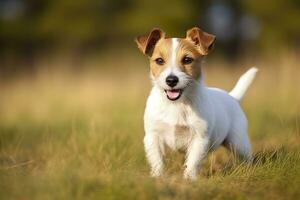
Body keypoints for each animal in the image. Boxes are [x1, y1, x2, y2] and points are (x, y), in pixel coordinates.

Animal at [135, 27, 258, 180]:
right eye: (159, 60)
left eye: (187, 60)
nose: (171, 80)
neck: (177, 104)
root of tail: (232, 97)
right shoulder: (153, 136)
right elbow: (157, 160)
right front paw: (158, 177)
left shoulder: (199, 138)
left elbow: (193, 162)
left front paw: (189, 180)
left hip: (238, 141)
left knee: (247, 157)